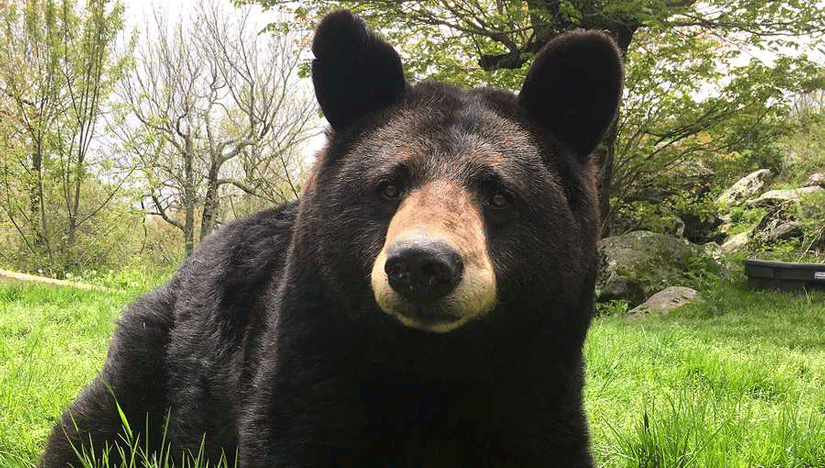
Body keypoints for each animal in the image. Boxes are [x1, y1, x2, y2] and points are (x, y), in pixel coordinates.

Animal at [41, 10, 623, 468]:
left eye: (499, 195)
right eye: (389, 186)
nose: (421, 264)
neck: (431, 361)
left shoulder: (539, 384)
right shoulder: (310, 361)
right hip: (157, 348)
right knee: (95, 422)